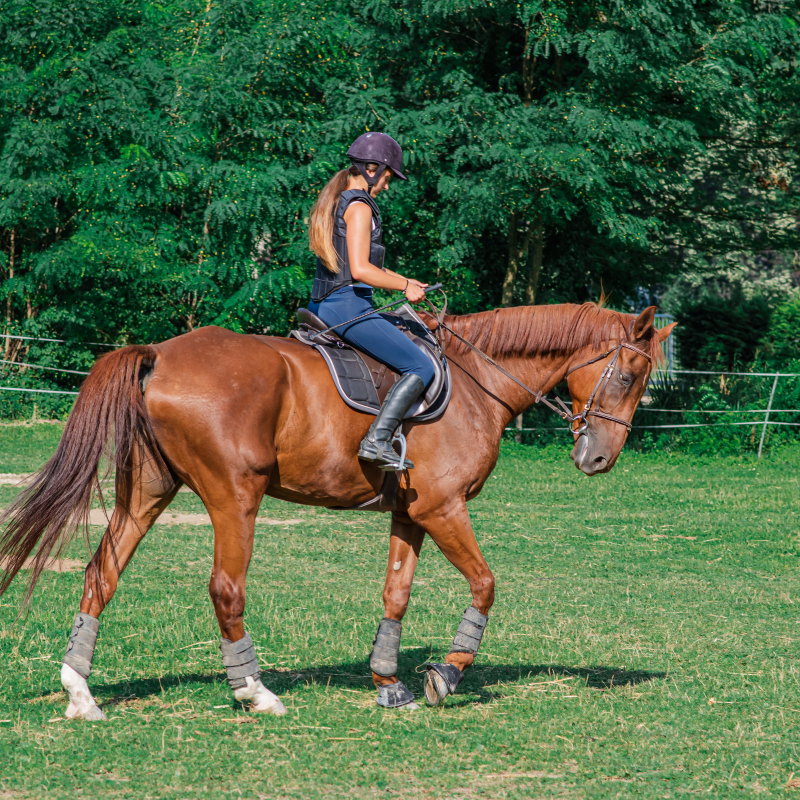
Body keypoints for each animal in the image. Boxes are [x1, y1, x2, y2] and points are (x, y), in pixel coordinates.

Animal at [0, 301, 675, 718]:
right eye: (629, 374)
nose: (599, 458)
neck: (474, 380)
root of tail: (160, 354)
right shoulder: (443, 508)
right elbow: (485, 584)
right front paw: (446, 675)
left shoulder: (411, 515)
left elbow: (396, 593)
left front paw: (389, 683)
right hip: (235, 497)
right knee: (225, 589)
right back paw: (255, 692)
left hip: (145, 493)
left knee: (102, 573)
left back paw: (81, 693)